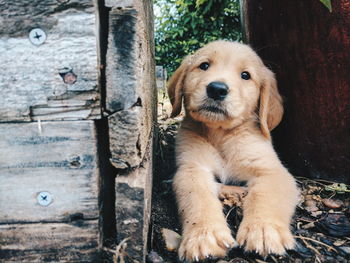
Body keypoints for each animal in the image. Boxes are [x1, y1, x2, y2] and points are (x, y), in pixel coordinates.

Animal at [168, 40, 300, 262]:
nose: (217, 89)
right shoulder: (192, 169)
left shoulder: (270, 170)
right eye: (204, 65)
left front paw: (263, 230)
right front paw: (204, 235)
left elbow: (265, 196)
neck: (221, 135)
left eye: (245, 75)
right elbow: (198, 198)